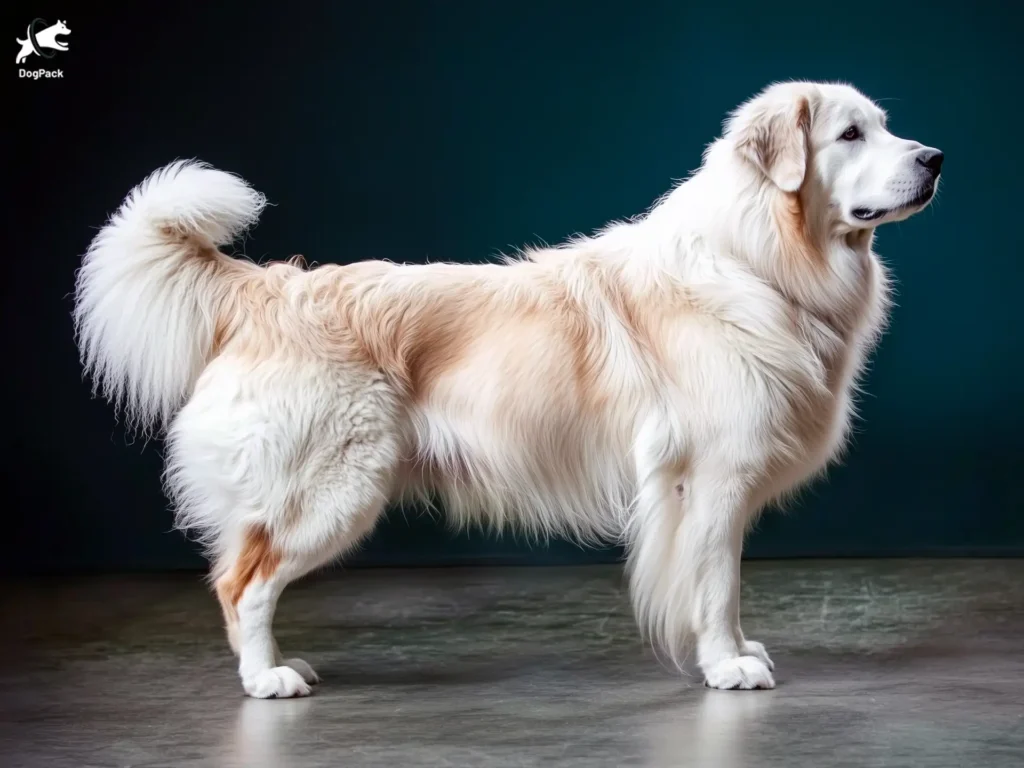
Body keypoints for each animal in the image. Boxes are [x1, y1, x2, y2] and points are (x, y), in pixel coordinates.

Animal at [74, 79, 942, 696]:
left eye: (884, 125)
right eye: (850, 134)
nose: (935, 158)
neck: (758, 259)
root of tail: (267, 289)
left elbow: (712, 586)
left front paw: (728, 653)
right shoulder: (711, 482)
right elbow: (716, 586)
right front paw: (728, 665)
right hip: (331, 491)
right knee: (242, 583)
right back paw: (267, 679)